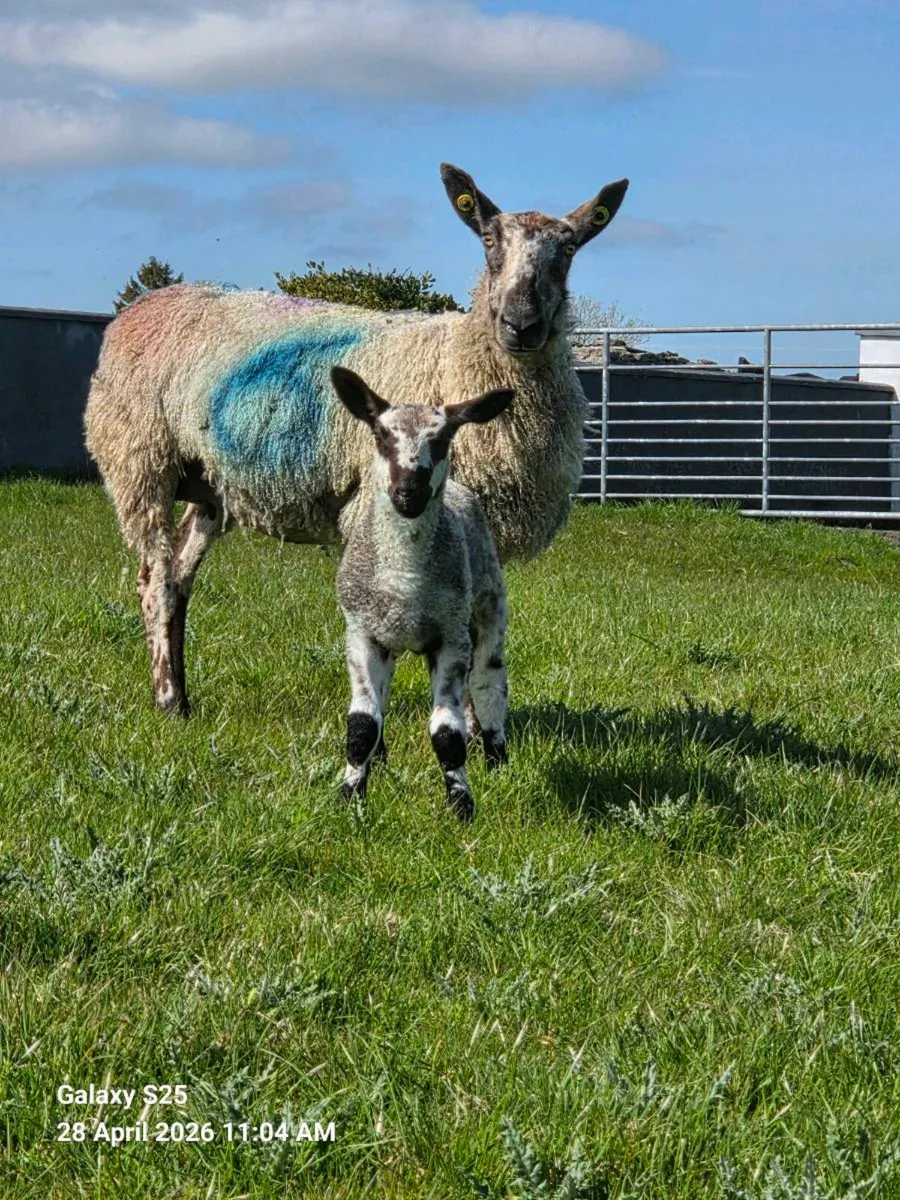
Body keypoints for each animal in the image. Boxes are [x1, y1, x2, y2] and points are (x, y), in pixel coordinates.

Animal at [84, 162, 629, 715]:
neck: (457, 357)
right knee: (155, 582)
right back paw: (169, 699)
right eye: (489, 240)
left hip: (210, 485)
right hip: (141, 462)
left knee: (179, 577)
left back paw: (184, 696)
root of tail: (141, 307)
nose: (522, 325)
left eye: (569, 248)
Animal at [331, 365, 513, 821]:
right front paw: (349, 796)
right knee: (384, 699)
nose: (408, 494)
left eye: (443, 438)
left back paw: (497, 761)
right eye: (381, 434)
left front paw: (462, 805)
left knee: (489, 683)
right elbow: (362, 723)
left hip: (488, 604)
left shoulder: (450, 636)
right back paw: (380, 761)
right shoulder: (361, 632)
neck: (406, 581)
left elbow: (447, 731)